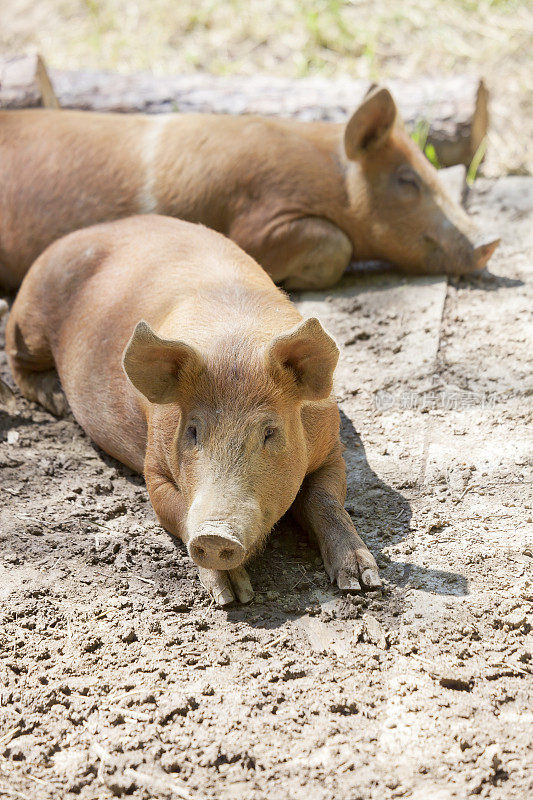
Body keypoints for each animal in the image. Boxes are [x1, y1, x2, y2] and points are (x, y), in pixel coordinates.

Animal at [1, 86, 498, 290]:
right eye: (407, 180)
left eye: (429, 170)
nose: (490, 240)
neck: (330, 183)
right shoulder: (256, 219)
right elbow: (332, 242)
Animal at [7, 216, 382, 604]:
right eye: (193, 431)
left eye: (269, 431)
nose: (215, 535)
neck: (235, 341)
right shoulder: (154, 467)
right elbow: (176, 512)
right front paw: (232, 596)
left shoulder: (332, 449)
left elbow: (326, 501)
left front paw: (363, 582)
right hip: (30, 322)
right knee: (17, 359)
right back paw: (59, 403)